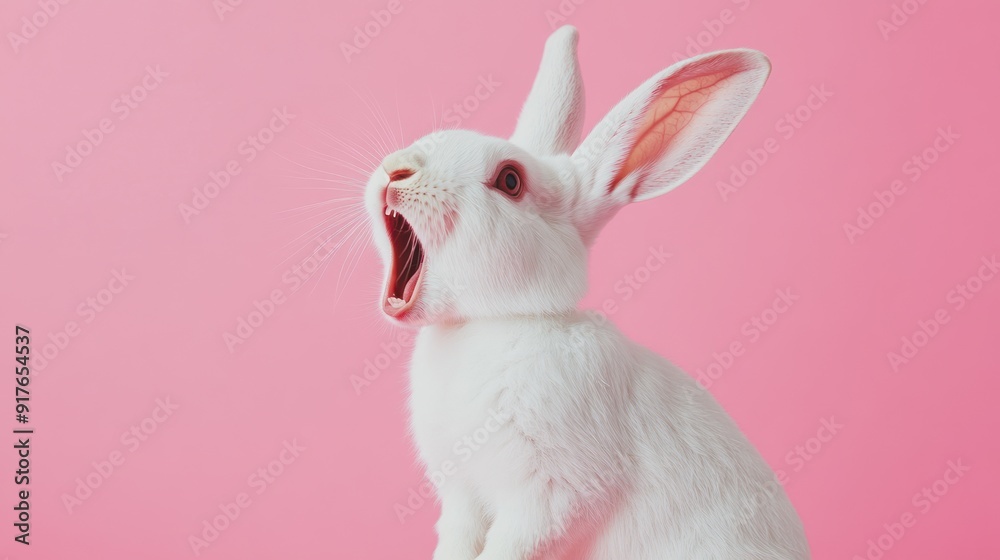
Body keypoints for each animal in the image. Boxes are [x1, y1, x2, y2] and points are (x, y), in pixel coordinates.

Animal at [363, 25, 810, 560]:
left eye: (509, 181)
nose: (396, 169)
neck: (496, 322)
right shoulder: (463, 499)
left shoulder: (553, 494)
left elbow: (512, 543)